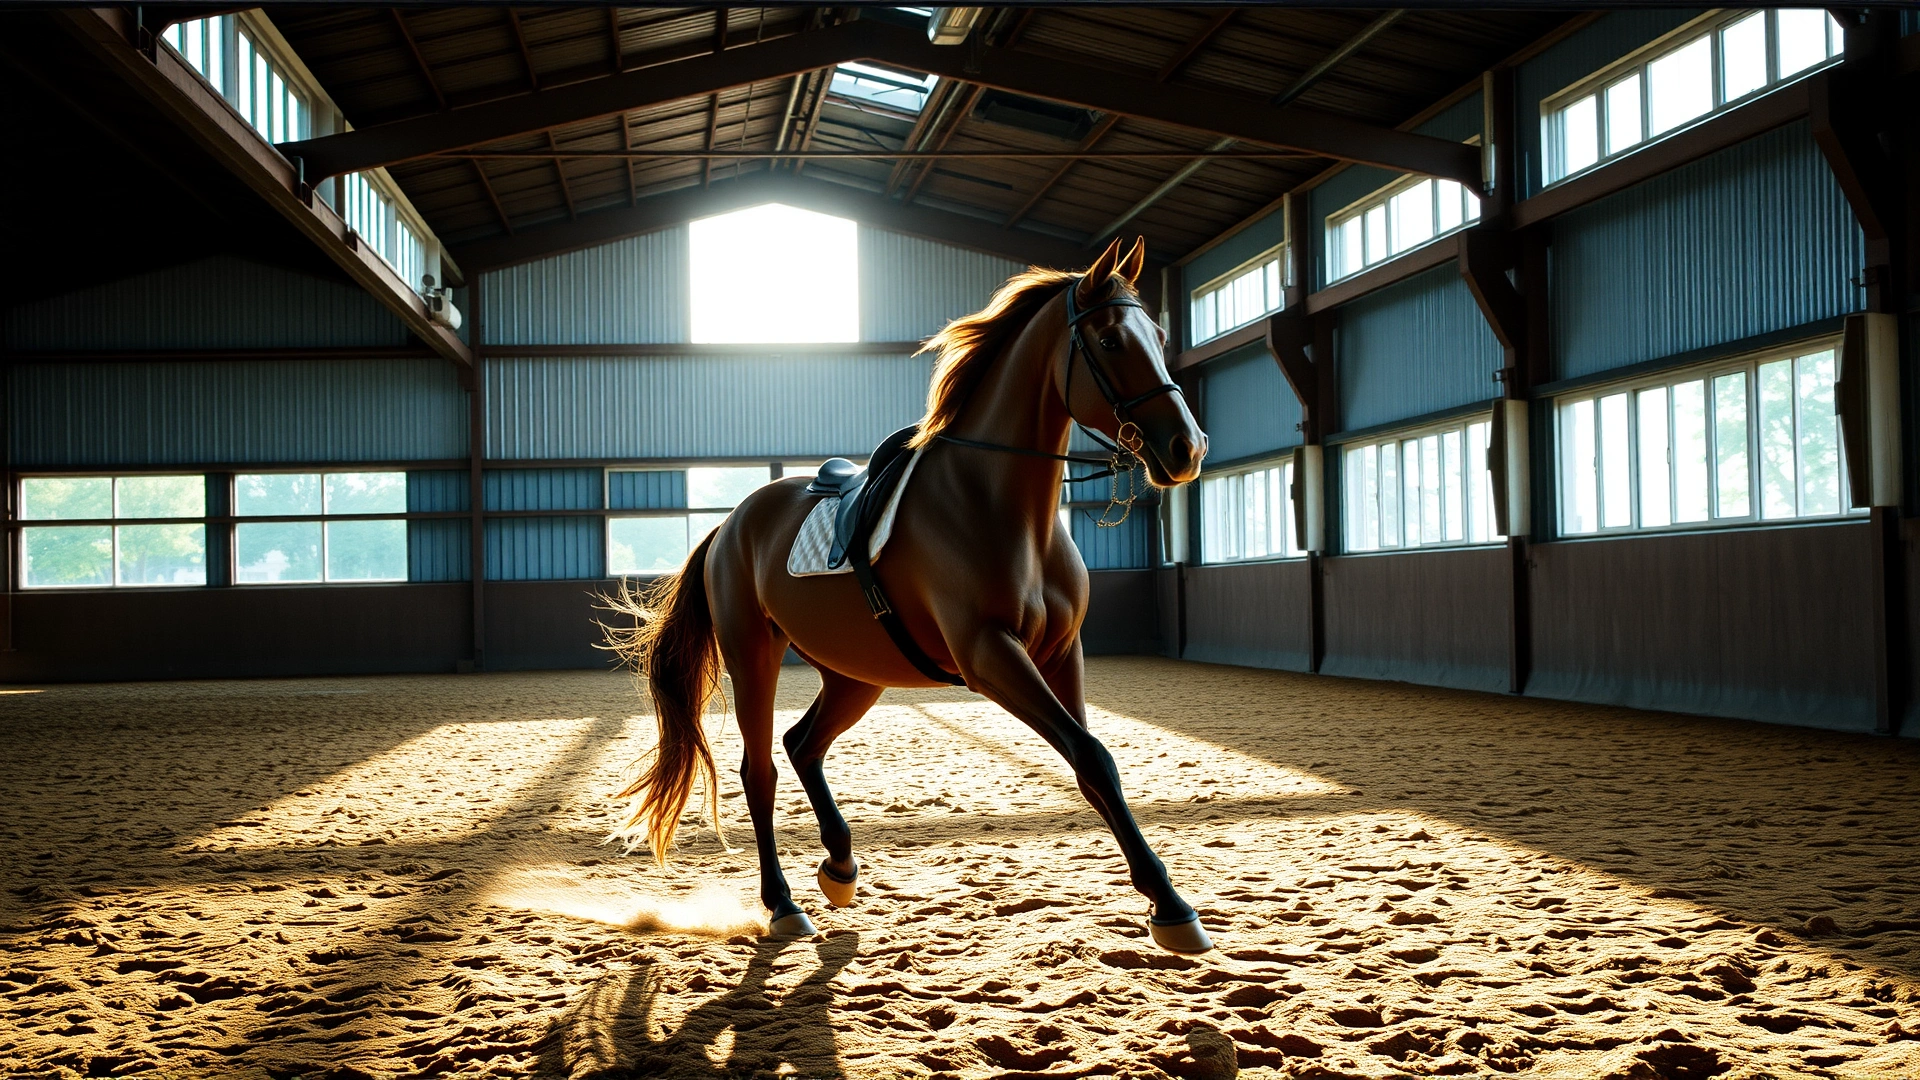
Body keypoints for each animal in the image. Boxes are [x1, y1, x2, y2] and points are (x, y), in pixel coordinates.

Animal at [604, 236, 1214, 954]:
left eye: (1163, 336)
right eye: (1114, 340)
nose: (1186, 448)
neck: (996, 505)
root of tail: (731, 524)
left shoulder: (1063, 653)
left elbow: (1096, 765)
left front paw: (1166, 902)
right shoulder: (990, 656)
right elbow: (1090, 755)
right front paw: (1172, 907)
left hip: (856, 674)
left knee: (802, 743)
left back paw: (840, 867)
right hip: (753, 654)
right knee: (761, 769)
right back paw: (783, 905)